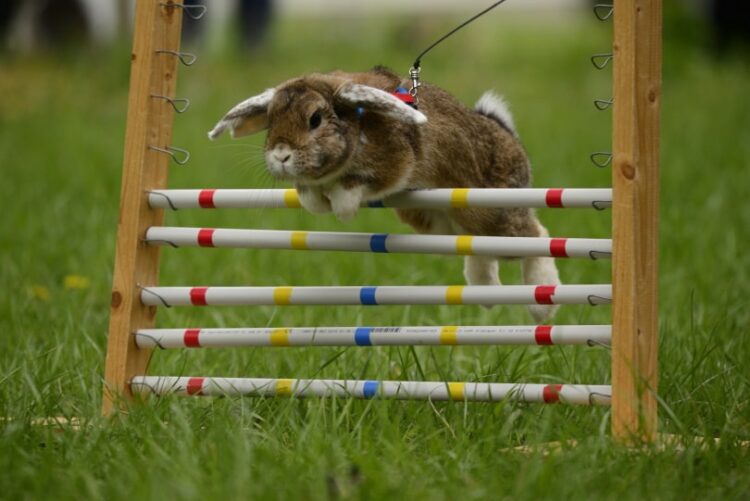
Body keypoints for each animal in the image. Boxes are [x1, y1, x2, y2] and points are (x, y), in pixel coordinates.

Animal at [208, 66, 560, 322]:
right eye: (270, 122)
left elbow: (356, 184)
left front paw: (342, 207)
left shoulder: (393, 165)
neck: (356, 122)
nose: (281, 154)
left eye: (315, 119)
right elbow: (311, 193)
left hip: (489, 213)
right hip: (438, 223)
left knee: (535, 235)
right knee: (478, 250)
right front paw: (317, 201)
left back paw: (542, 303)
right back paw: (485, 293)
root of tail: (508, 135)